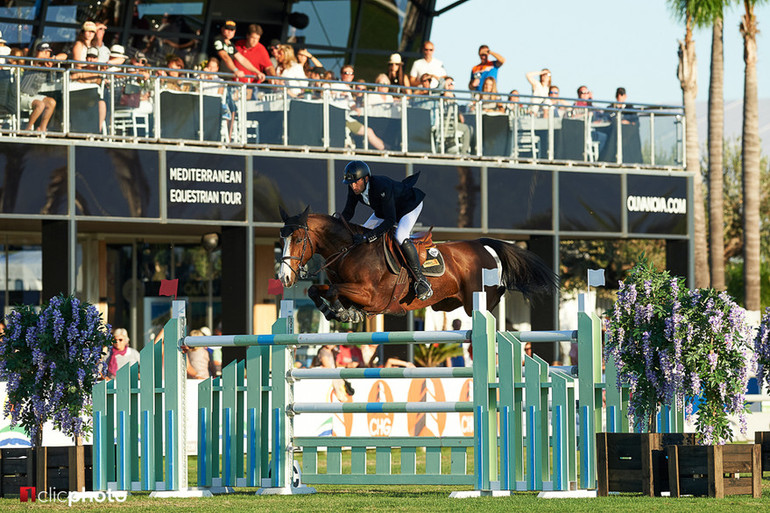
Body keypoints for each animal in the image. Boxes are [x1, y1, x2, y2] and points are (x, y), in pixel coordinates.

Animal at [280, 206, 556, 322]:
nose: (284, 277)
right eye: (282, 238)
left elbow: (335, 291)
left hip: (477, 301)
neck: (349, 250)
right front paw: (334, 311)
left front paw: (342, 312)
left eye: (298, 238)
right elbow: (317, 289)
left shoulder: (372, 296)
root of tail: (481, 244)